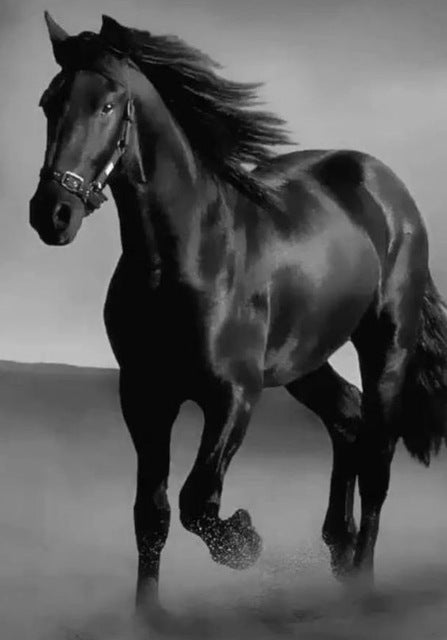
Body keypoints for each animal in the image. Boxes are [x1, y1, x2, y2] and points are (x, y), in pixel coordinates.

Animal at [29, 12, 447, 616]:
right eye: (48, 102)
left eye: (107, 105)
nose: (53, 214)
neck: (185, 257)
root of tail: (388, 187)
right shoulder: (144, 396)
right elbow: (152, 514)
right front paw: (148, 615)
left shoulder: (234, 395)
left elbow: (197, 500)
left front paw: (245, 541)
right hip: (303, 360)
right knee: (347, 418)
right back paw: (339, 550)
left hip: (387, 344)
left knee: (376, 459)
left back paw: (363, 582)